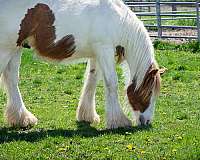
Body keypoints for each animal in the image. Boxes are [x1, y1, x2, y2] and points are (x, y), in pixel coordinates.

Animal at [0, 0, 164, 129]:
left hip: (16, 48)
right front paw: (118, 121)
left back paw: (22, 119)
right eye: (149, 92)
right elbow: (111, 82)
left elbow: (92, 81)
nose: (147, 121)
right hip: (6, 49)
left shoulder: (96, 54)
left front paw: (87, 116)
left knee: (11, 79)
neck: (117, 20)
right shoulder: (105, 49)